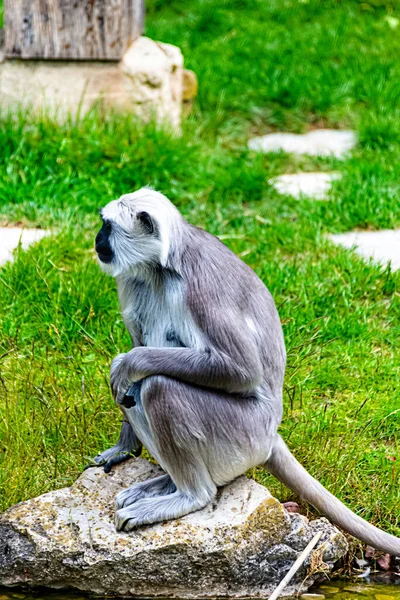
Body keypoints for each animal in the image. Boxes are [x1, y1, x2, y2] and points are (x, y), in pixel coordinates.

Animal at [93, 189, 400, 556]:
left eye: (108, 226)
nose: (97, 241)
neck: (161, 267)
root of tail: (271, 435)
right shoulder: (131, 279)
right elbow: (133, 355)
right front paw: (123, 448)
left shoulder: (200, 287)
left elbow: (241, 370)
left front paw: (129, 362)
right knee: (137, 390)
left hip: (243, 434)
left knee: (158, 386)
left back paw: (190, 495)